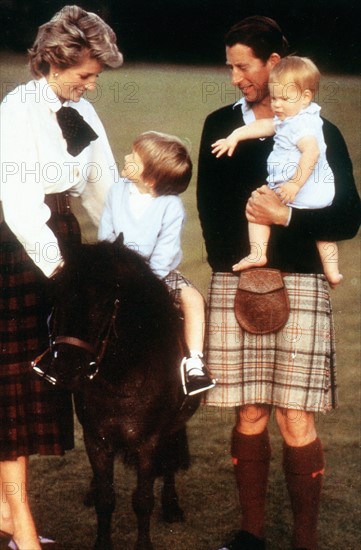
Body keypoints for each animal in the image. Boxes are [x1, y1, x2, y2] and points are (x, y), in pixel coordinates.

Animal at [34, 238, 200, 550]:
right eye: (58, 296)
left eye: (105, 302)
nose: (66, 369)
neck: (121, 376)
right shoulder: (96, 440)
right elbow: (105, 498)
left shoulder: (148, 442)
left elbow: (143, 500)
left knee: (170, 459)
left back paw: (171, 506)